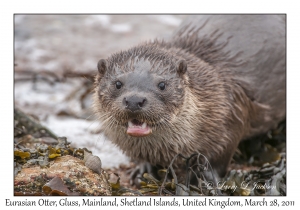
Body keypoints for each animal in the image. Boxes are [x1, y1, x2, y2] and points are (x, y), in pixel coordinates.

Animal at [92, 15, 284, 182]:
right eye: (118, 84)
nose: (134, 100)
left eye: (162, 85)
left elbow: (220, 158)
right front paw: (143, 169)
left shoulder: (230, 116)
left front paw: (205, 178)